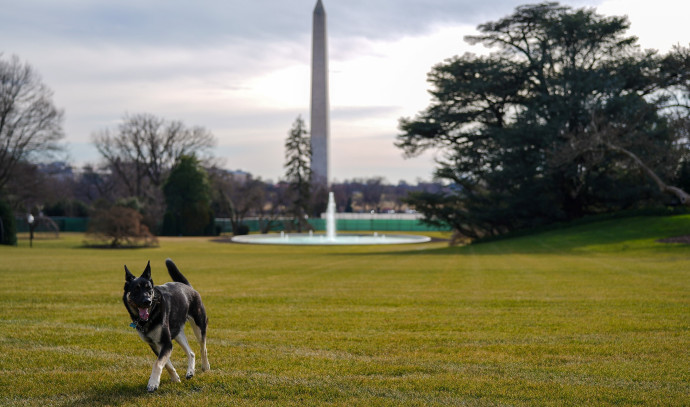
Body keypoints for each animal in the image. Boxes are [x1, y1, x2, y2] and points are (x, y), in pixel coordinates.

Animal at [123, 260, 210, 394]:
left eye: (149, 289)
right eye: (136, 289)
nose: (147, 301)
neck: (151, 314)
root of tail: (189, 287)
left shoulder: (166, 343)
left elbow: (157, 363)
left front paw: (153, 383)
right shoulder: (156, 344)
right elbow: (166, 364)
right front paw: (175, 379)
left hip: (199, 326)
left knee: (203, 347)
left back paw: (205, 367)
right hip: (177, 333)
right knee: (191, 352)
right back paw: (190, 372)